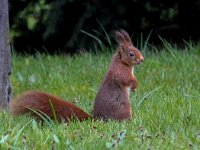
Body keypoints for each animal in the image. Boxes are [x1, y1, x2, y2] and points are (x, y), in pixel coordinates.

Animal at [9, 29, 144, 122]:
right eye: (131, 54)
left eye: (137, 49)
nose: (142, 59)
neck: (121, 62)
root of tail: (97, 118)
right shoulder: (121, 72)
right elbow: (127, 80)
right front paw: (135, 85)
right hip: (124, 108)